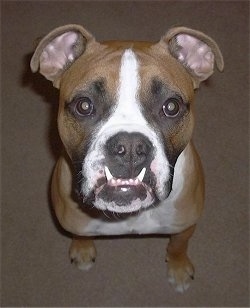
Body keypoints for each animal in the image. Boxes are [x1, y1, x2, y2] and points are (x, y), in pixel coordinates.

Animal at [30, 23, 224, 292]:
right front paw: (82, 249)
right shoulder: (73, 222)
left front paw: (178, 267)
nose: (130, 147)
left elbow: (178, 245)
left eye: (171, 107)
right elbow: (79, 234)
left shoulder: (184, 226)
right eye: (84, 105)